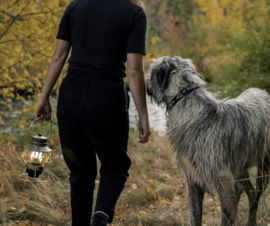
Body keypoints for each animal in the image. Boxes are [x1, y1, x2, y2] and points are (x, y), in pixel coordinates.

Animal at [147, 55, 270, 226]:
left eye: (151, 71)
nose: (146, 85)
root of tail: (263, 92)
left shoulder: (225, 185)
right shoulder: (193, 181)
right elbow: (195, 216)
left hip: (263, 165)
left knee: (256, 194)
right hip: (240, 168)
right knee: (251, 193)